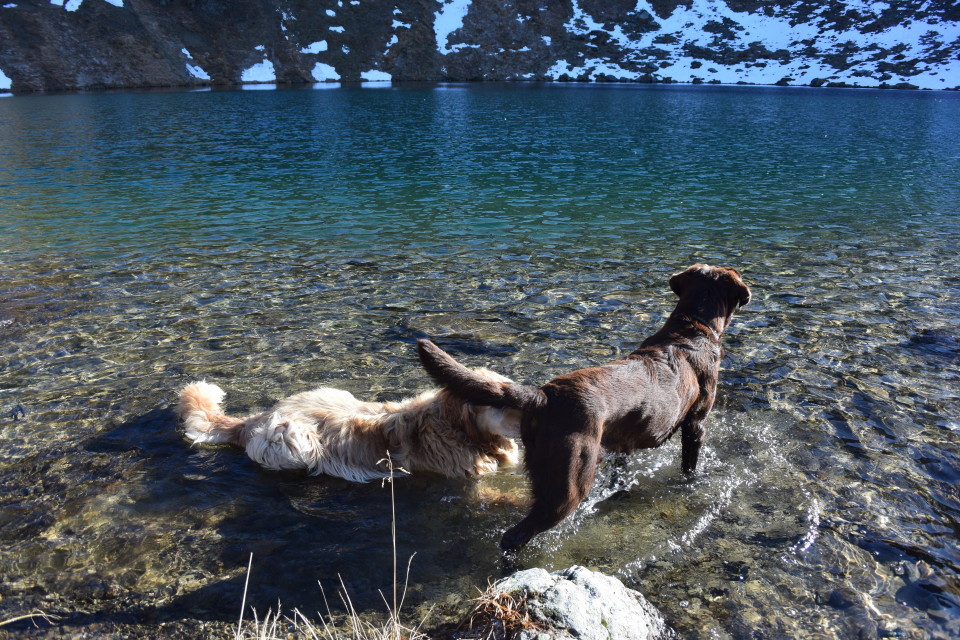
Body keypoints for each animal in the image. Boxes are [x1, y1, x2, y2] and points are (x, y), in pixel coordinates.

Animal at [418, 264, 752, 552]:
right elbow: (689, 467)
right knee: (515, 535)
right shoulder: (695, 424)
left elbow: (621, 474)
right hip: (570, 481)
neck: (692, 328)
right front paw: (691, 484)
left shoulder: (624, 442)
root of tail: (543, 396)